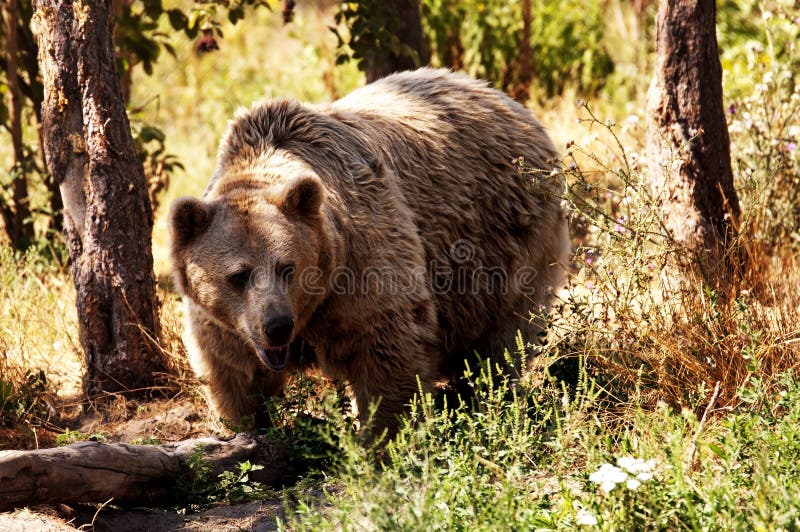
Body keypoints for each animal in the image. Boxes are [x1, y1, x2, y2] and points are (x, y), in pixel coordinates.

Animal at [170, 67, 568, 432]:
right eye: (237, 275)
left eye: (288, 267)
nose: (277, 326)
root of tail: (510, 103)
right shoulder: (224, 322)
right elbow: (232, 373)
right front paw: (247, 425)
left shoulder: (362, 265)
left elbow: (386, 352)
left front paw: (381, 435)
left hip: (507, 238)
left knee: (504, 337)